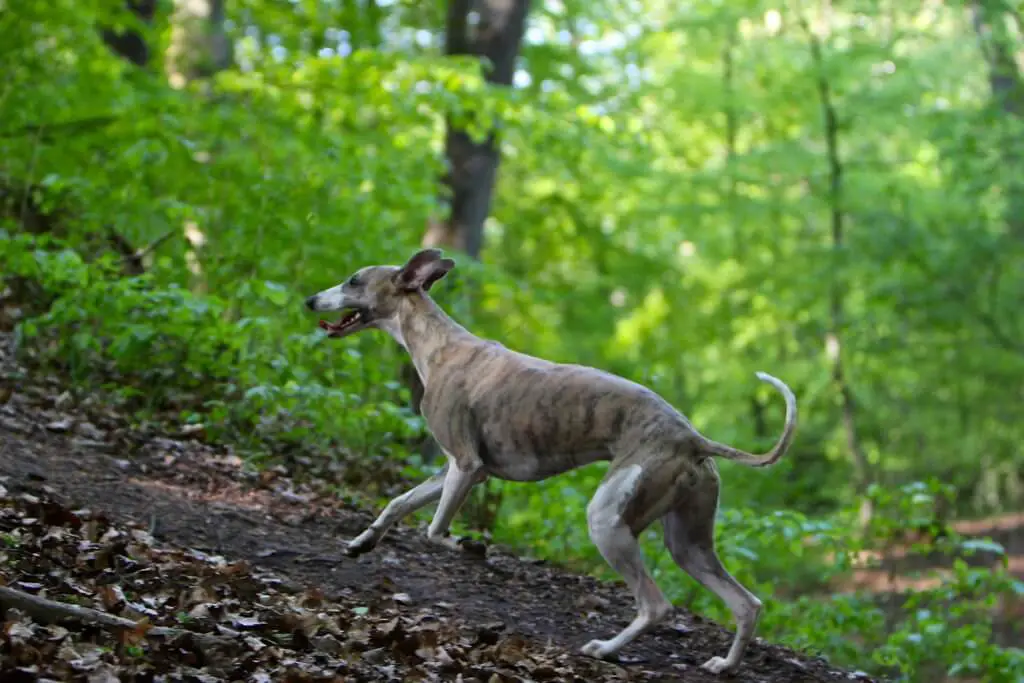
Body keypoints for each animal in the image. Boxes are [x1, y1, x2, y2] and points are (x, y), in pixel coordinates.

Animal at [303, 248, 798, 675]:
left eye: (354, 280)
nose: (309, 300)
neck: (439, 344)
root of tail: (694, 438)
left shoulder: (467, 466)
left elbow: (435, 531)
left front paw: (469, 545)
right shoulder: (453, 469)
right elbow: (398, 503)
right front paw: (362, 542)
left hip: (607, 519)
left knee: (656, 605)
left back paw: (605, 649)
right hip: (688, 542)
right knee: (746, 604)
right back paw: (724, 665)